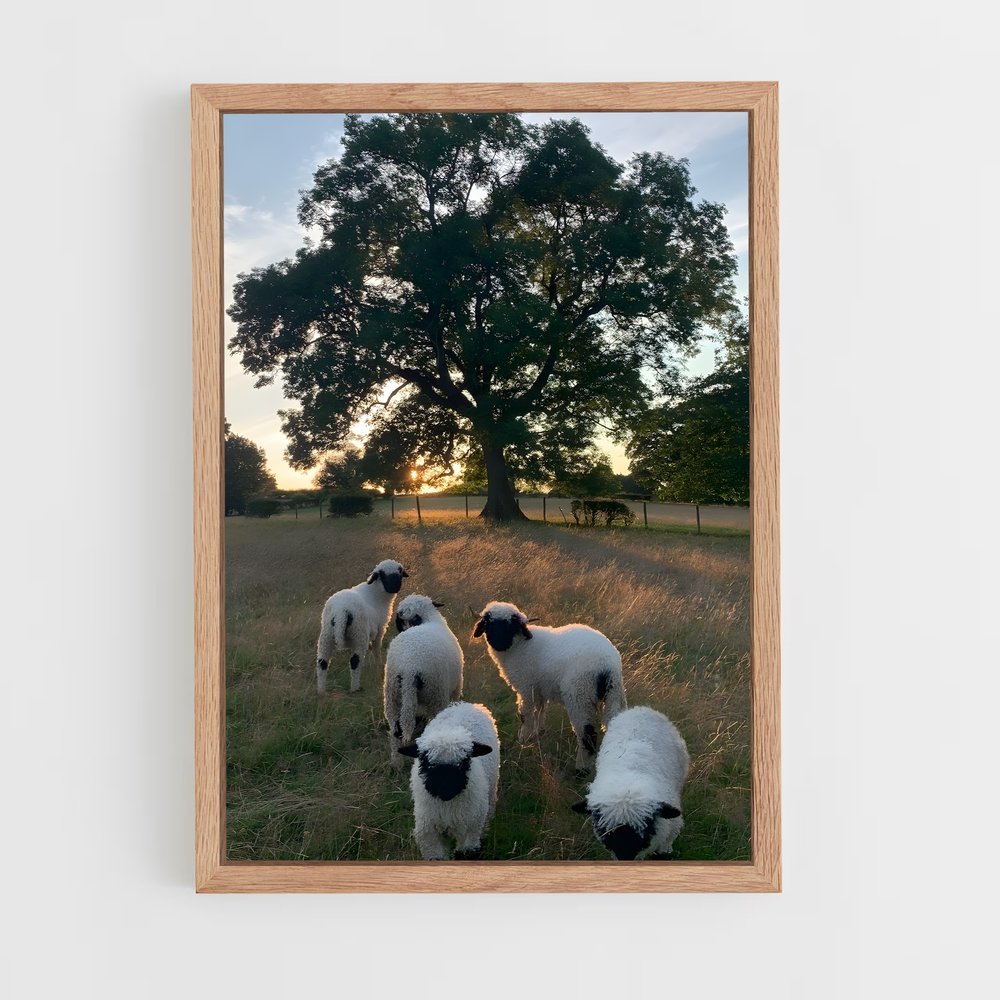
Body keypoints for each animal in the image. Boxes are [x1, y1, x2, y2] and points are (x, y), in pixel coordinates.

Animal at [315, 559, 408, 694]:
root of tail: (341, 611)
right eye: (383, 575)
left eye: (399, 573)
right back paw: (355, 688)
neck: (377, 593)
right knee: (355, 661)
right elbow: (376, 648)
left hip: (326, 635)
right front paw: (378, 664)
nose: (395, 588)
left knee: (322, 662)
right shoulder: (380, 629)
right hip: (359, 634)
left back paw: (321, 691)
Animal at [384, 594, 464, 762]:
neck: (429, 619)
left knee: (395, 731)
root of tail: (409, 667)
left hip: (392, 695)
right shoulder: (457, 686)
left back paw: (396, 762)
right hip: (436, 694)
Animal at [398, 701, 500, 860]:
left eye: (464, 761)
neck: (447, 806)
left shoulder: (470, 830)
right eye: (426, 761)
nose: (446, 791)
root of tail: (465, 705)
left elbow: (466, 853)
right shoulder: (428, 833)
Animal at [471, 600, 626, 775]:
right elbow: (540, 709)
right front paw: (538, 732)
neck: (519, 647)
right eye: (488, 623)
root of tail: (607, 666)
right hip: (614, 694)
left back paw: (581, 769)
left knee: (587, 735)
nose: (499, 644)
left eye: (510, 625)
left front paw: (523, 739)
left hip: (580, 696)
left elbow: (525, 715)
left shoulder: (526, 688)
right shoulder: (539, 688)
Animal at [571, 706, 689, 861]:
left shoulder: (670, 829)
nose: (625, 857)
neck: (627, 782)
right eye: (607, 831)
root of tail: (640, 708)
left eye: (645, 826)